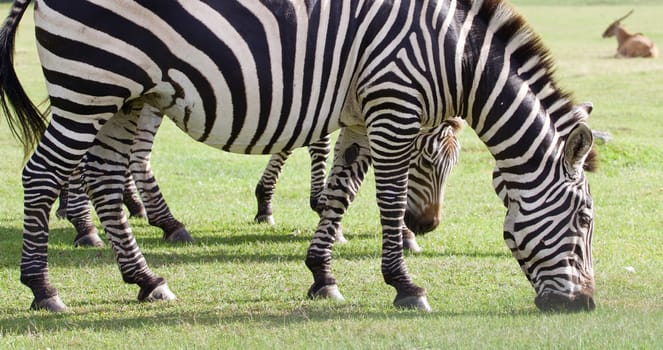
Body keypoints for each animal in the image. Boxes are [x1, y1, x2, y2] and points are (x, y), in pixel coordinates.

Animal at [0, 0, 600, 312]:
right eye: (583, 219)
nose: (585, 304)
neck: (451, 54)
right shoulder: (394, 107)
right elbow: (386, 200)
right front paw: (405, 285)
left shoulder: (360, 115)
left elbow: (341, 192)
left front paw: (321, 274)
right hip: (92, 85)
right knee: (43, 174)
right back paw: (44, 288)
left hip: (127, 97)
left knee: (104, 177)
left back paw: (147, 280)